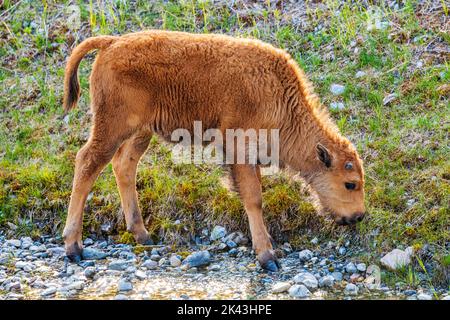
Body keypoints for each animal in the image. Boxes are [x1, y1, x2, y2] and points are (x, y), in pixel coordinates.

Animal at [62, 30, 366, 272]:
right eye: (350, 184)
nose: (359, 217)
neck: (280, 97)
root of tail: (111, 42)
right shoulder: (241, 150)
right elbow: (254, 198)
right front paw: (267, 256)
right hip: (113, 127)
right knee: (87, 162)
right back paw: (73, 248)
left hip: (141, 131)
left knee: (124, 165)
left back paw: (142, 235)